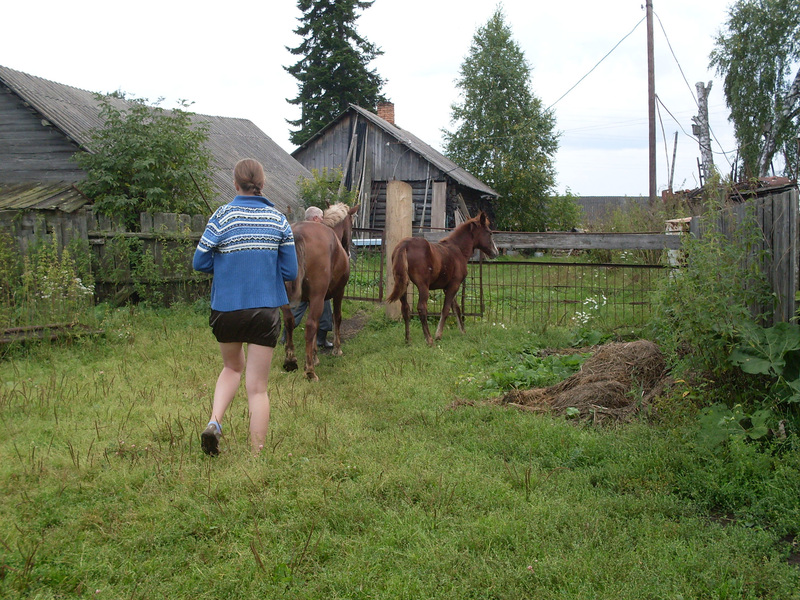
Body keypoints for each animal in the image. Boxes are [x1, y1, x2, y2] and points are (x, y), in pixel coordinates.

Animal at [280, 202, 358, 380]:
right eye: (351, 223)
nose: (349, 251)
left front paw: (314, 356)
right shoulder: (337, 292)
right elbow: (336, 318)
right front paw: (336, 349)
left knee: (289, 320)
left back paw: (290, 360)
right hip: (318, 296)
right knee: (310, 326)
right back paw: (309, 371)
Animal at [386, 211, 496, 344]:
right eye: (490, 233)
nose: (495, 252)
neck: (458, 250)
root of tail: (404, 245)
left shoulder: (447, 287)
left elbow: (456, 308)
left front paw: (463, 331)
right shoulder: (455, 284)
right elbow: (446, 309)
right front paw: (438, 335)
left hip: (403, 283)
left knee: (405, 308)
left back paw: (408, 340)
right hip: (423, 285)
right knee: (421, 308)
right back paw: (429, 339)